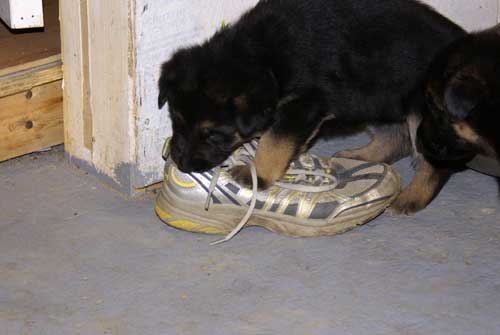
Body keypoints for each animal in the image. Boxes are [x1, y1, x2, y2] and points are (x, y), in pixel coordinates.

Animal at [158, 0, 462, 200]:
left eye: (213, 135)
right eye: (177, 120)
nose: (181, 164)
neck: (264, 56)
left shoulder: (304, 105)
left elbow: (274, 142)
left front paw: (258, 173)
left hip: (421, 109)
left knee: (435, 162)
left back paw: (411, 198)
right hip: (377, 97)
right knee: (395, 138)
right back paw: (360, 156)